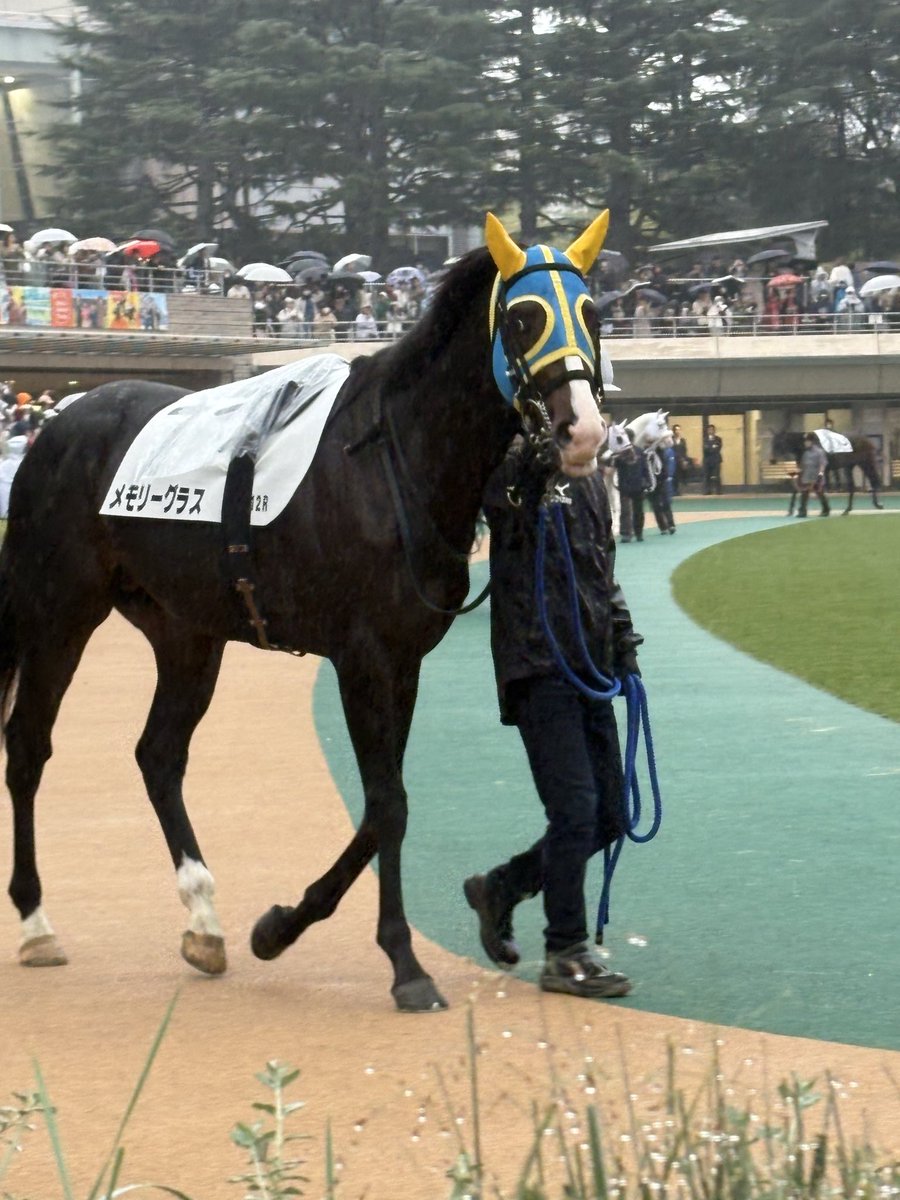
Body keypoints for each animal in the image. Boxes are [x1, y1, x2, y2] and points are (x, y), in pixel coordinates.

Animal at [0, 211, 614, 1012]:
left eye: (593, 313)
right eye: (522, 317)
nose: (583, 433)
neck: (394, 460)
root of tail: (61, 422)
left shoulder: (403, 661)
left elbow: (382, 805)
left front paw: (280, 926)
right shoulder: (362, 657)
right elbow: (389, 804)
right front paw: (404, 964)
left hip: (185, 628)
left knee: (158, 753)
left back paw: (205, 921)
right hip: (57, 609)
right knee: (27, 745)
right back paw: (36, 920)